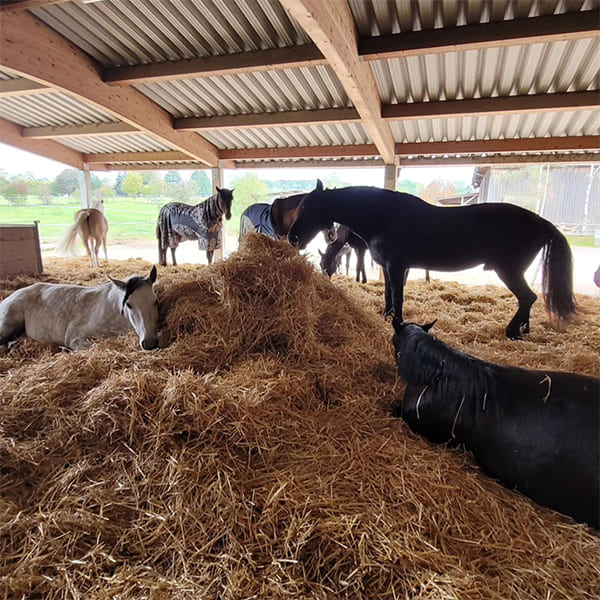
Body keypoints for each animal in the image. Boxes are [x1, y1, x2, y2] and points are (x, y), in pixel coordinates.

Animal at [290, 178, 576, 340]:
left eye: (308, 207)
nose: (293, 237)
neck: (384, 217)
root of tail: (543, 223)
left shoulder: (397, 267)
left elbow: (397, 298)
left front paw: (398, 323)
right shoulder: (390, 268)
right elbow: (388, 296)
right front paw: (386, 317)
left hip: (509, 270)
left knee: (528, 297)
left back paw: (513, 332)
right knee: (528, 299)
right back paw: (523, 330)